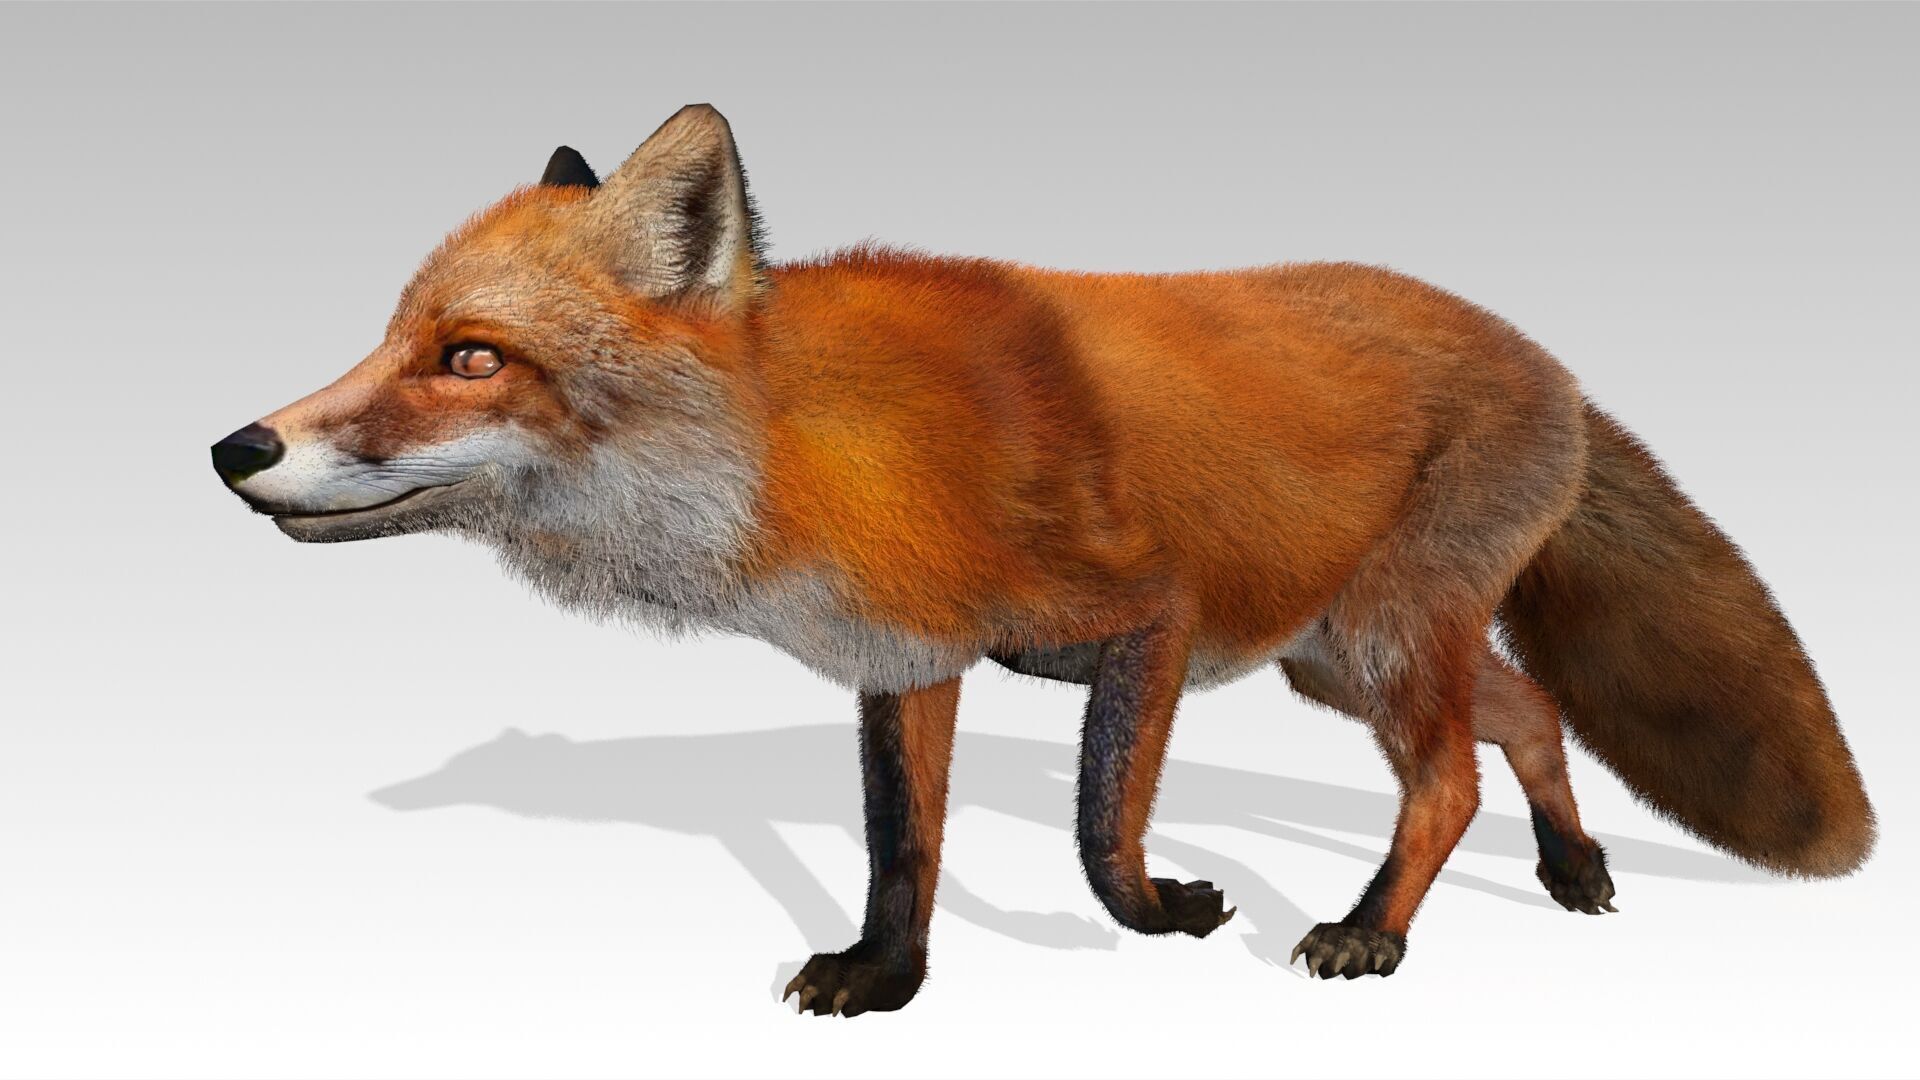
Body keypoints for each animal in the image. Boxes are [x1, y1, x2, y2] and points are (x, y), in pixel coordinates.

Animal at [211, 104, 1874, 1016]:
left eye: (468, 357)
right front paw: (885, 982)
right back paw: (1574, 868)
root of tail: (1552, 361)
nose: (235, 448)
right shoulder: (912, 659)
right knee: (1518, 715)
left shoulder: (1147, 620)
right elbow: (906, 848)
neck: (816, 457)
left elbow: (1095, 835)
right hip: (1336, 652)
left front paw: (1169, 915)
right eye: (393, 339)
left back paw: (1376, 933)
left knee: (1452, 774)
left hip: (1379, 636)